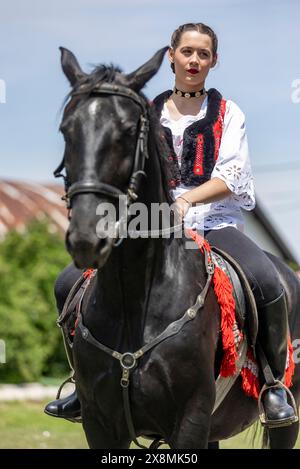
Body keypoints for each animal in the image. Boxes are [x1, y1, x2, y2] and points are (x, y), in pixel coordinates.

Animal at [56, 45, 300, 448]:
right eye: (67, 130)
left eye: (128, 131)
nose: (88, 235)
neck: (135, 298)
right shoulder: (99, 424)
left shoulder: (190, 420)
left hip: (284, 416)